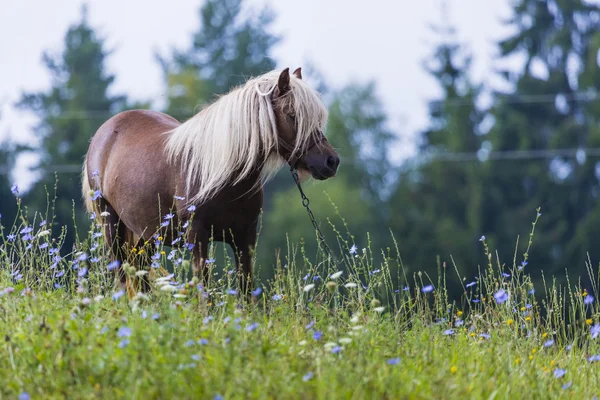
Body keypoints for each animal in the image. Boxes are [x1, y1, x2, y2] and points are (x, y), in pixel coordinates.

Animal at [82, 68, 340, 294]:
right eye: (292, 115)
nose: (331, 161)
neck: (224, 176)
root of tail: (105, 131)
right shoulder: (197, 238)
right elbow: (203, 292)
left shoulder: (245, 238)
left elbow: (246, 292)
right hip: (112, 227)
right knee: (122, 279)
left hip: (145, 236)